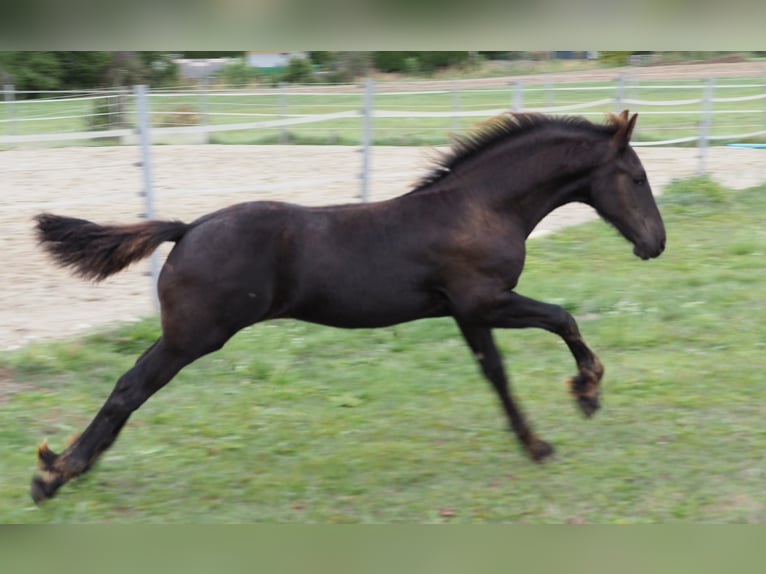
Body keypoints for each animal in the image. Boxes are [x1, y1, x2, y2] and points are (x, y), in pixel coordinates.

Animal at [30, 110, 665, 502]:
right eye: (636, 177)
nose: (655, 244)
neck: (481, 207)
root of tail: (187, 228)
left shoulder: (466, 313)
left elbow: (497, 375)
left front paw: (536, 441)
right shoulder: (484, 301)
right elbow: (561, 318)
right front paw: (584, 395)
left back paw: (59, 470)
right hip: (192, 336)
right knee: (128, 389)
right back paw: (55, 474)